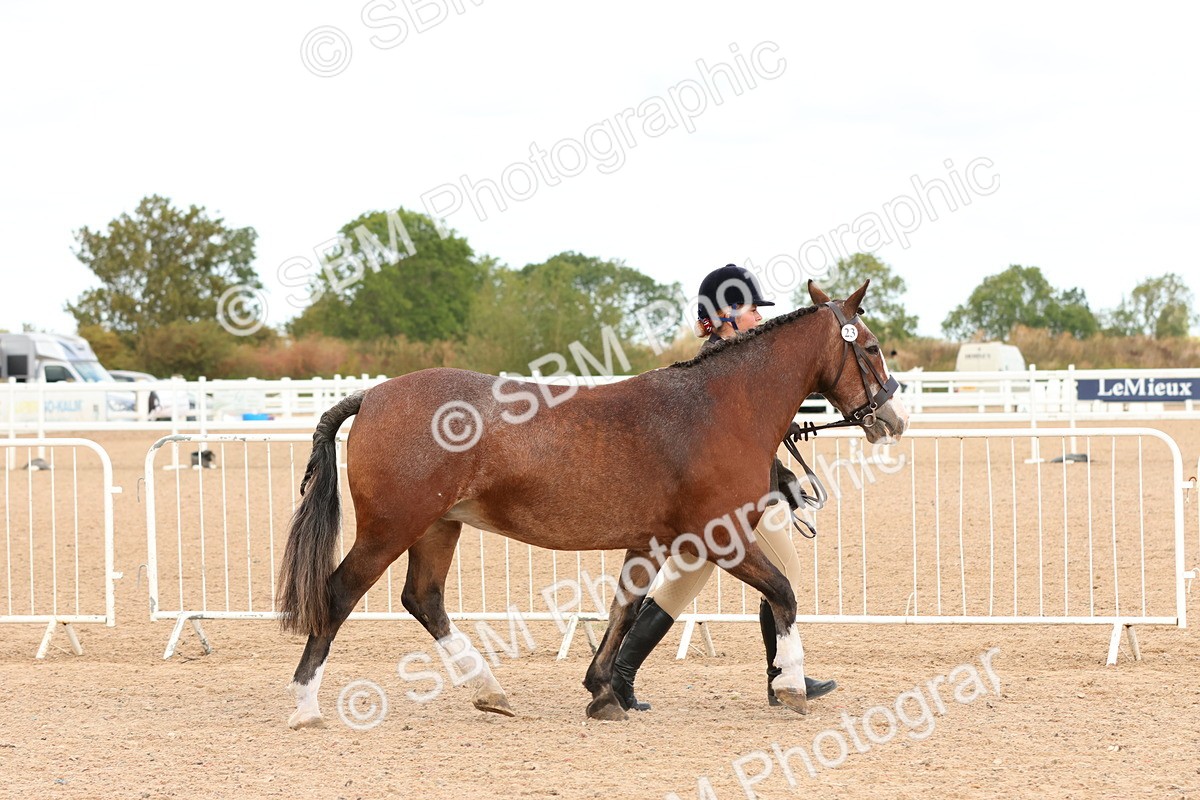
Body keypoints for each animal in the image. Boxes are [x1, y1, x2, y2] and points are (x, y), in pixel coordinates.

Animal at [278, 279, 909, 728]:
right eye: (872, 347)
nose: (893, 418)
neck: (718, 407)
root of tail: (373, 395)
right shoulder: (723, 538)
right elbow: (783, 592)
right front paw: (792, 686)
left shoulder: (654, 542)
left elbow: (625, 609)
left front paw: (605, 691)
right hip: (391, 528)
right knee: (339, 594)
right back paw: (305, 705)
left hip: (438, 527)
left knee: (423, 599)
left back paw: (491, 691)